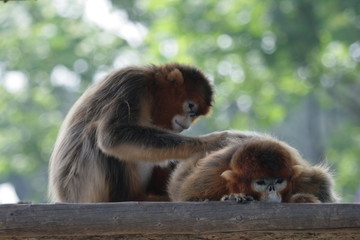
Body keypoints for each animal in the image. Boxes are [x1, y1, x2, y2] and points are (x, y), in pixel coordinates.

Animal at [48, 62, 239, 202]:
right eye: (191, 107)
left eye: (195, 115)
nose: (188, 122)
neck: (150, 88)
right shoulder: (133, 84)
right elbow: (113, 135)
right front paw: (216, 141)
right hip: (82, 187)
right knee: (98, 136)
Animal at [167, 131, 338, 202]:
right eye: (261, 182)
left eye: (279, 181)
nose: (272, 190)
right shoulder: (212, 176)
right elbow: (190, 198)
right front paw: (234, 196)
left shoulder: (302, 179)